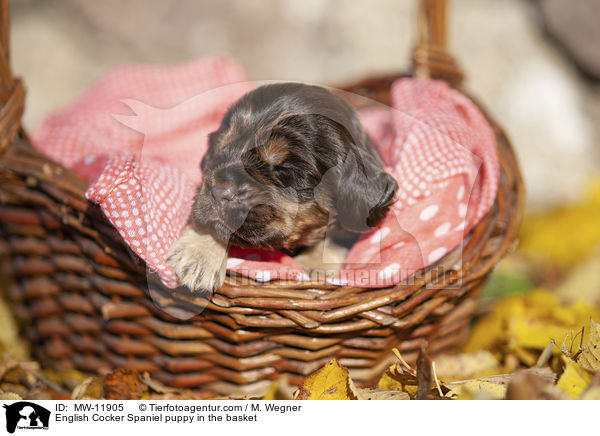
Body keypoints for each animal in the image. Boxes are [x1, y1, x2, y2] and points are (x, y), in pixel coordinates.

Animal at [165, 82, 398, 292]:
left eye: (285, 170)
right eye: (219, 149)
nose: (219, 191)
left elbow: (336, 236)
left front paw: (312, 265)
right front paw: (198, 253)